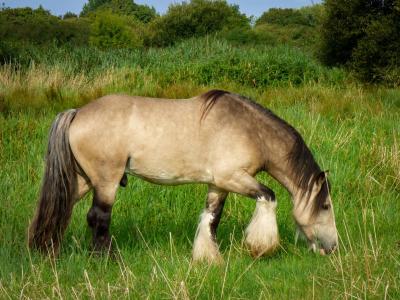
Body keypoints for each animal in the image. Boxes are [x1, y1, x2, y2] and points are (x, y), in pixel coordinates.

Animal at [28, 89, 338, 262]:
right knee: (98, 218)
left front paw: (208, 258)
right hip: (106, 181)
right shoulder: (233, 178)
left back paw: (48, 250)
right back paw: (106, 259)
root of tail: (77, 112)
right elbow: (269, 197)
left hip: (82, 181)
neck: (250, 130)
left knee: (60, 209)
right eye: (325, 205)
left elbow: (211, 219)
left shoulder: (218, 185)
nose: (331, 247)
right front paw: (260, 247)